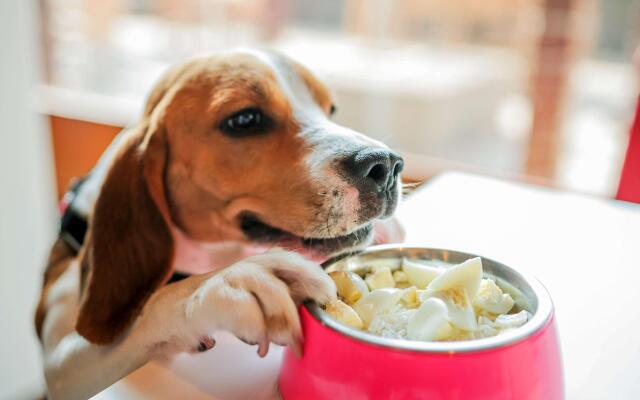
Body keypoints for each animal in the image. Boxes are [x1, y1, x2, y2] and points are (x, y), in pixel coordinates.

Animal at [35, 50, 402, 400]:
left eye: (331, 109)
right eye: (245, 119)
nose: (386, 165)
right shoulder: (61, 369)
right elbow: (152, 309)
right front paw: (226, 283)